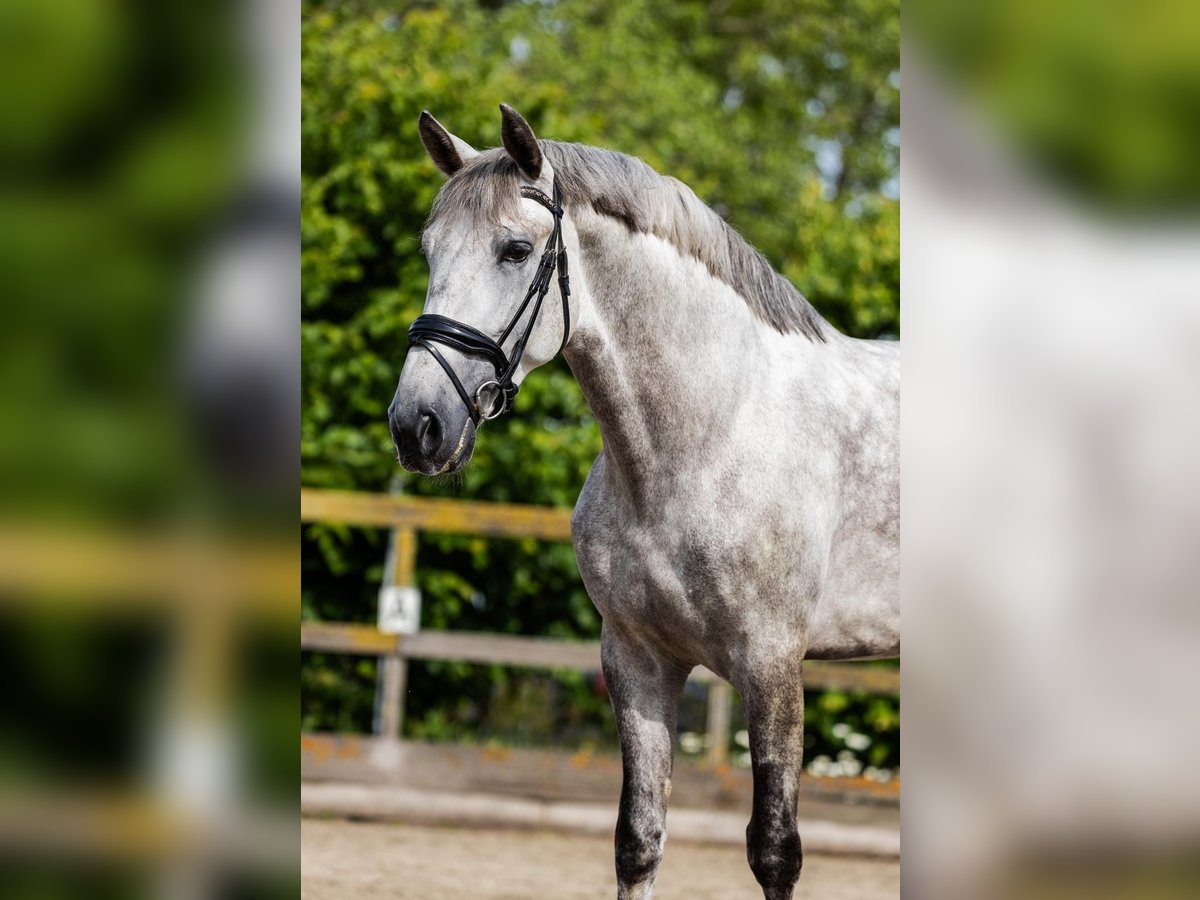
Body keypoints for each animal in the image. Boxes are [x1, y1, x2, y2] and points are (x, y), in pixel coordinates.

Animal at [388, 105, 899, 900]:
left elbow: (774, 851)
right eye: (428, 250)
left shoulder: (773, 664)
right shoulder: (636, 659)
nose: (417, 425)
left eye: (515, 250)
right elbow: (639, 840)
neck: (712, 428)